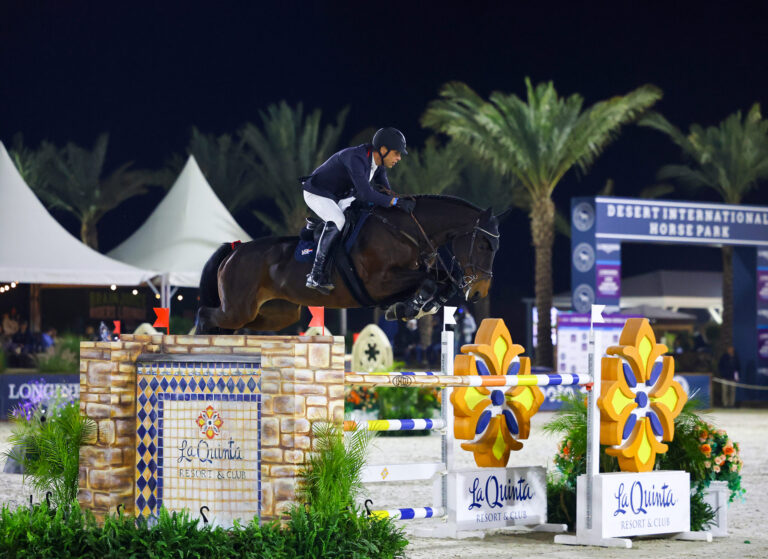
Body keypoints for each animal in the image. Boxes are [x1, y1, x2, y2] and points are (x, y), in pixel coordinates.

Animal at [194, 196, 504, 334]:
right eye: (483, 245)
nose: (479, 292)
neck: (405, 230)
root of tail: (236, 250)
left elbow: (440, 281)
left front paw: (417, 307)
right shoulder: (379, 283)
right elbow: (428, 281)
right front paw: (410, 307)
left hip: (277, 314)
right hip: (237, 309)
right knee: (205, 315)